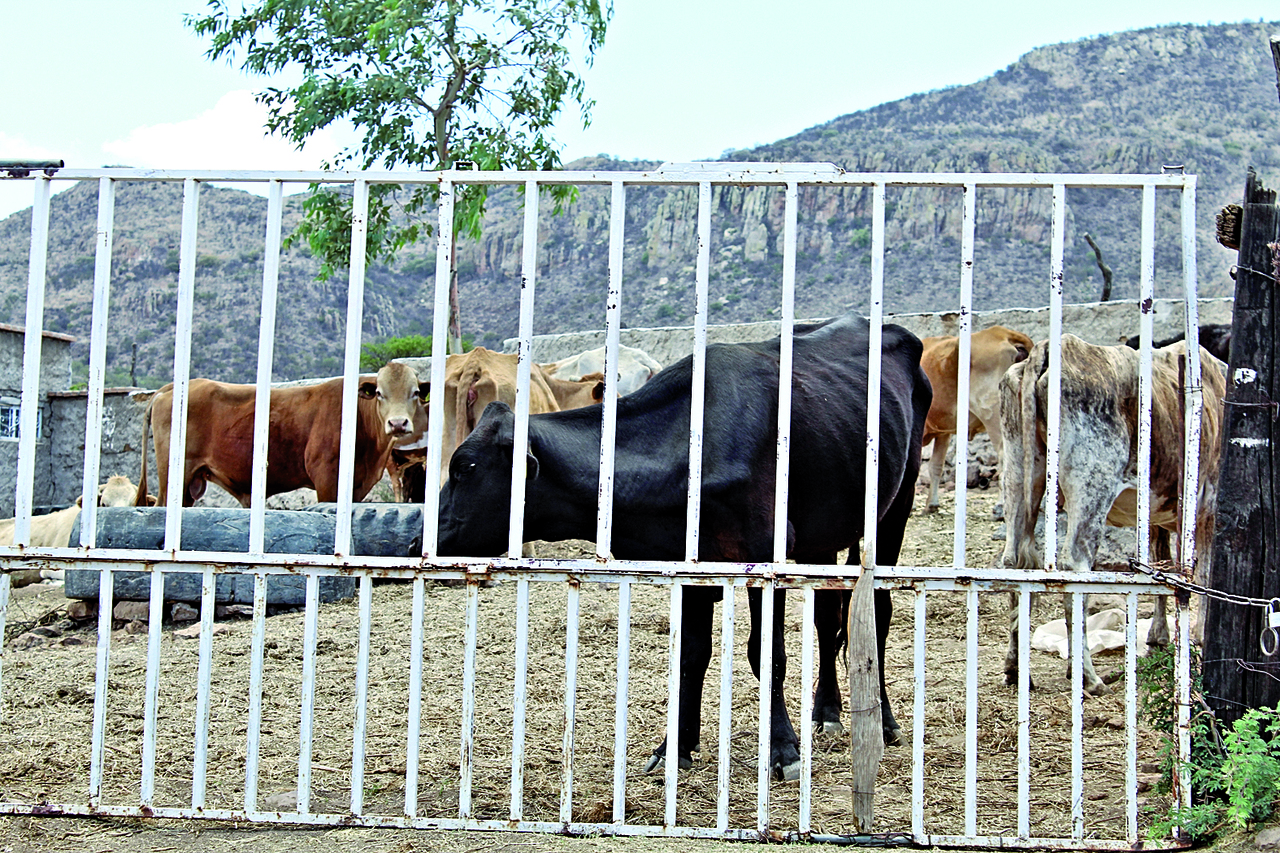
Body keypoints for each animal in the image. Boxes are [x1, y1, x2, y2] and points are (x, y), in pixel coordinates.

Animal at [136, 362, 428, 507]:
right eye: (379, 393)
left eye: (415, 392)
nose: (398, 424)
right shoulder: (326, 478)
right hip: (174, 475)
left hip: (190, 484)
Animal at [436, 312, 931, 780]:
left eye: (466, 467)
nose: (427, 535)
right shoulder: (692, 563)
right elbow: (692, 653)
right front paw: (674, 747)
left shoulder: (762, 553)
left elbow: (766, 653)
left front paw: (782, 750)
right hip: (822, 534)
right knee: (828, 617)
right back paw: (826, 711)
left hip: (897, 503)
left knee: (877, 613)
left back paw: (885, 722)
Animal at [919, 326, 1033, 511]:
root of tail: (1004, 333)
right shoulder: (944, 432)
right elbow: (935, 466)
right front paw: (931, 504)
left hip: (992, 415)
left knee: (1005, 456)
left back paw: (1000, 506)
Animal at [999, 335, 1226, 695]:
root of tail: (1050, 349)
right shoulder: (1207, 507)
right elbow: (1200, 575)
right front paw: (1198, 638)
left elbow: (1160, 564)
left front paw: (1159, 636)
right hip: (1092, 488)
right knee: (1073, 568)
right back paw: (1089, 678)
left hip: (1018, 476)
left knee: (1014, 563)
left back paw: (1015, 669)